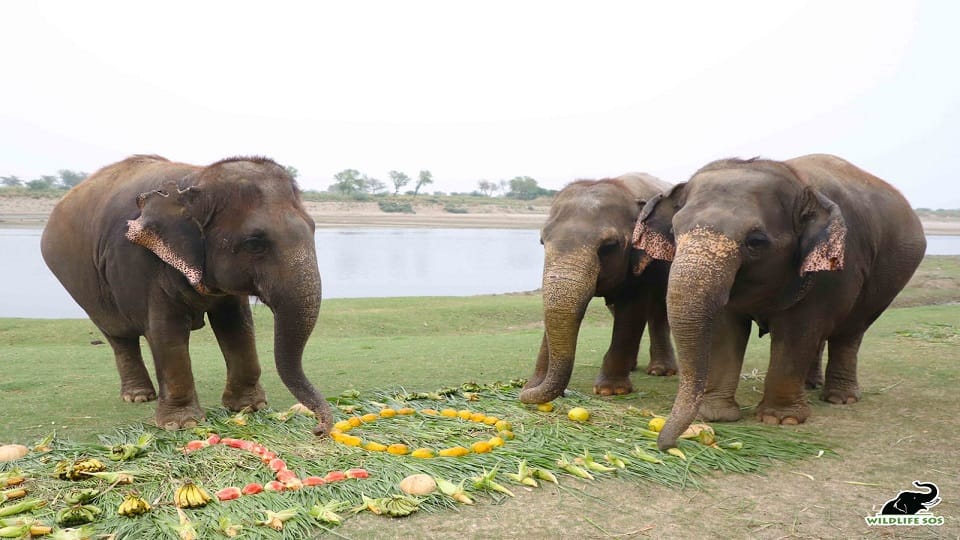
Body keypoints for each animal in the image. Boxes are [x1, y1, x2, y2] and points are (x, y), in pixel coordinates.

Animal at [41, 155, 333, 434]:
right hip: (85, 289)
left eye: (313, 228)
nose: (319, 429)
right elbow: (166, 331)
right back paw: (138, 397)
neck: (195, 180)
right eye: (255, 243)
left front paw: (250, 408)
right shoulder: (144, 264)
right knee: (118, 335)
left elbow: (237, 326)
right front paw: (182, 424)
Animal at [519, 173, 677, 404]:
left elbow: (632, 310)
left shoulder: (644, 262)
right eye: (542, 241)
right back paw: (632, 366)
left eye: (609, 246)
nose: (523, 391)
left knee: (658, 310)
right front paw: (532, 385)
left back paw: (661, 371)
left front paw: (610, 390)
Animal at [632, 154, 926, 449]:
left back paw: (840, 398)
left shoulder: (831, 271)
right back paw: (810, 386)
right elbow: (726, 330)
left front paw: (781, 420)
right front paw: (716, 415)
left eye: (755, 241)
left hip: (883, 284)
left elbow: (798, 330)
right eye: (673, 231)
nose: (665, 444)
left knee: (850, 332)